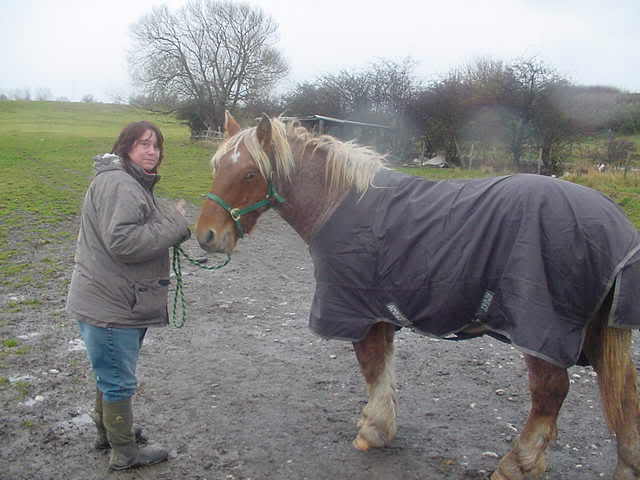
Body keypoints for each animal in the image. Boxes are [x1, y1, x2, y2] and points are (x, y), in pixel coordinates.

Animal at [194, 110, 640, 478]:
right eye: (216, 167)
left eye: (250, 174)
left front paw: (373, 431)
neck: (341, 203)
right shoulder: (381, 314)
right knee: (625, 397)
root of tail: (613, 222)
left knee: (550, 393)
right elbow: (383, 369)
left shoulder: (360, 313)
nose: (207, 236)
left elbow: (372, 368)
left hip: (541, 333)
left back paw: (518, 464)